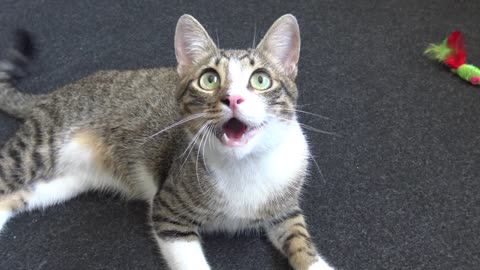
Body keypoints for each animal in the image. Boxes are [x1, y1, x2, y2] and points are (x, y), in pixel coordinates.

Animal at [0, 15, 336, 270]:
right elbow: (189, 260)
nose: (233, 98)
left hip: (67, 180)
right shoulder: (167, 211)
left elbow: (300, 241)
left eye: (261, 80)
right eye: (209, 79)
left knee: (18, 195)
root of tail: (53, 94)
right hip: (36, 149)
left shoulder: (285, 209)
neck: (245, 164)